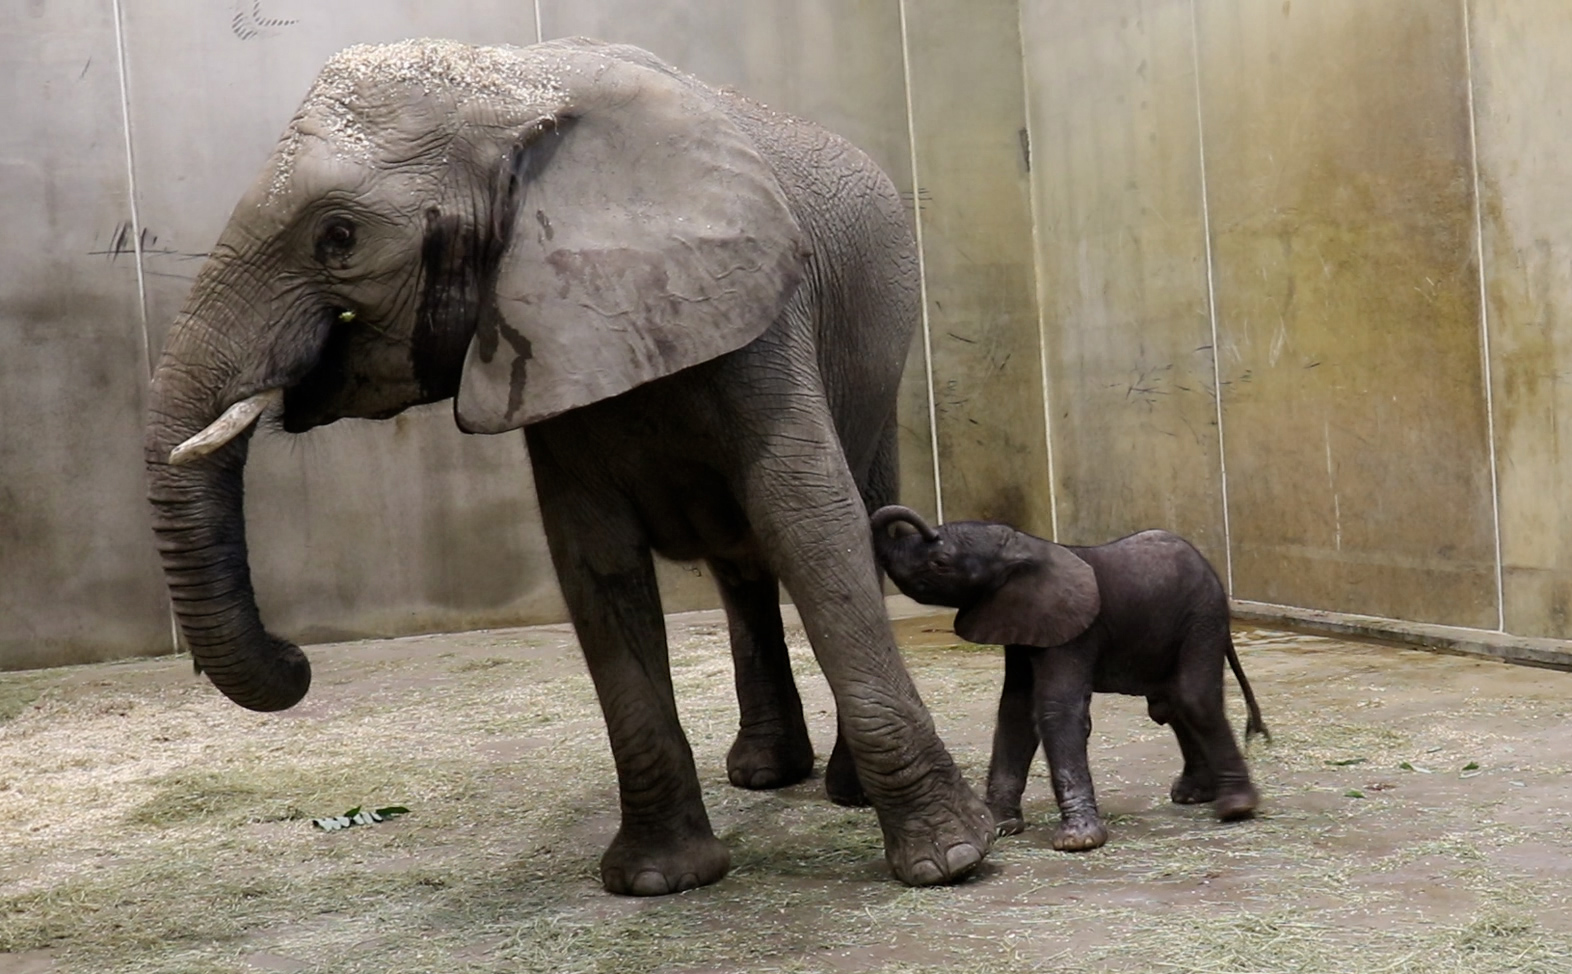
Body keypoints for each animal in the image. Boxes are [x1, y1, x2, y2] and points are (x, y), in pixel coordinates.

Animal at [141, 39, 987, 898]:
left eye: (338, 236)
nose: (296, 657)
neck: (510, 84)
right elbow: (593, 563)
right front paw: (658, 881)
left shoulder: (760, 314)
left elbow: (810, 525)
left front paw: (948, 861)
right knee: (738, 567)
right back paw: (762, 774)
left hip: (877, 360)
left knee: (849, 514)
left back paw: (841, 791)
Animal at [874, 505, 1263, 848]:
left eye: (940, 563)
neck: (1025, 546)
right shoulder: (1022, 626)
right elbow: (1015, 712)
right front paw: (999, 827)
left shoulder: (1075, 633)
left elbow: (1056, 710)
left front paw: (1078, 842)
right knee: (1170, 705)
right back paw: (1193, 796)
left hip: (1202, 617)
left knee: (1193, 698)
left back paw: (1236, 807)